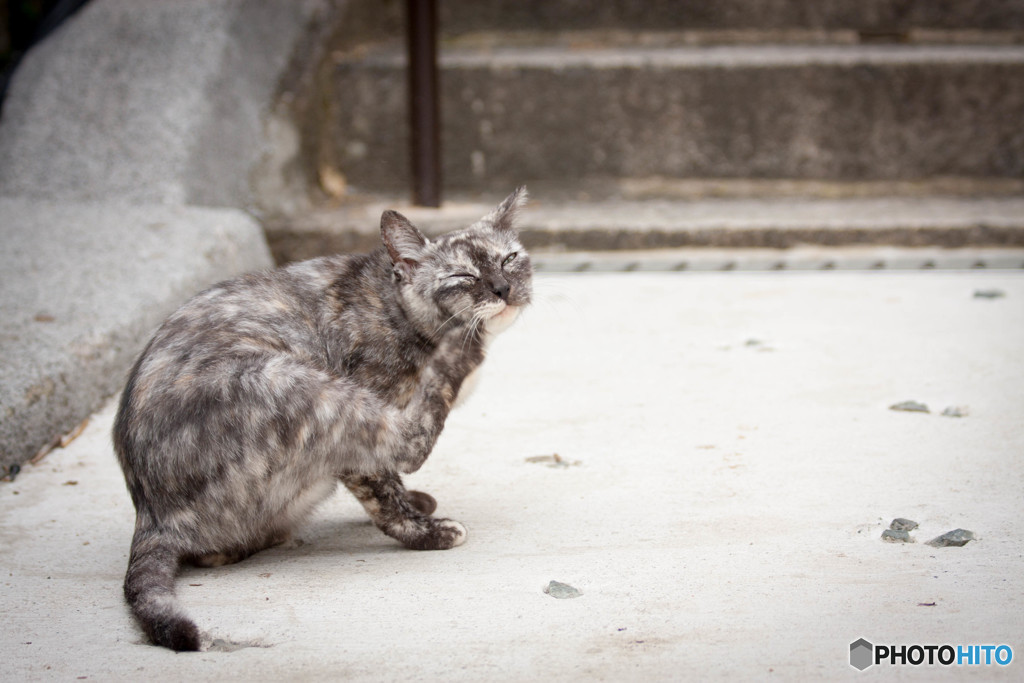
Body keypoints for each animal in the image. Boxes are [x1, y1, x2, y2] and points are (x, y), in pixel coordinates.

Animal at [111, 185, 532, 651]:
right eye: (463, 276)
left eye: (509, 258)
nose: (503, 288)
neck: (396, 309)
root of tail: (151, 515)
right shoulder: (364, 422)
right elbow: (385, 493)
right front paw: (424, 530)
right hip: (289, 379)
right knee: (410, 444)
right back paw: (458, 358)